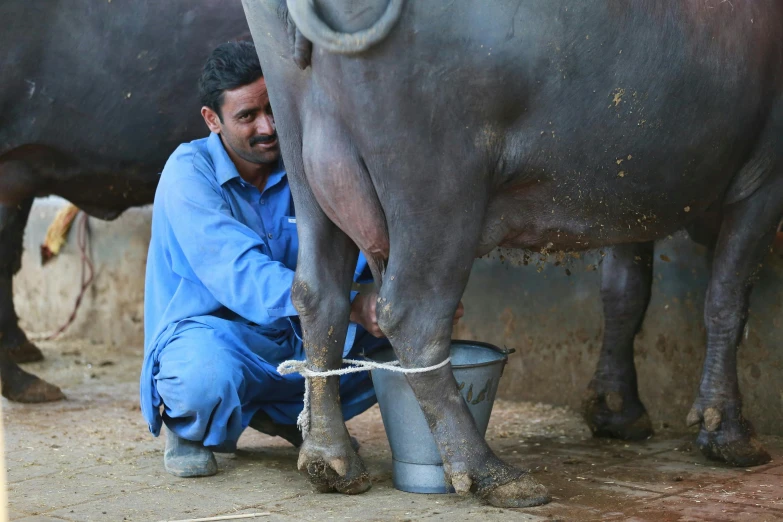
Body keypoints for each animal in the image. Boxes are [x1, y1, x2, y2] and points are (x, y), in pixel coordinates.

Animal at [243, 0, 783, 504]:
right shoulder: (763, 181)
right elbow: (727, 301)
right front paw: (727, 432)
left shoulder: (631, 197)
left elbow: (625, 294)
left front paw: (616, 410)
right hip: (439, 186)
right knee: (413, 316)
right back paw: (489, 471)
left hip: (304, 164)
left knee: (318, 295)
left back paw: (329, 459)